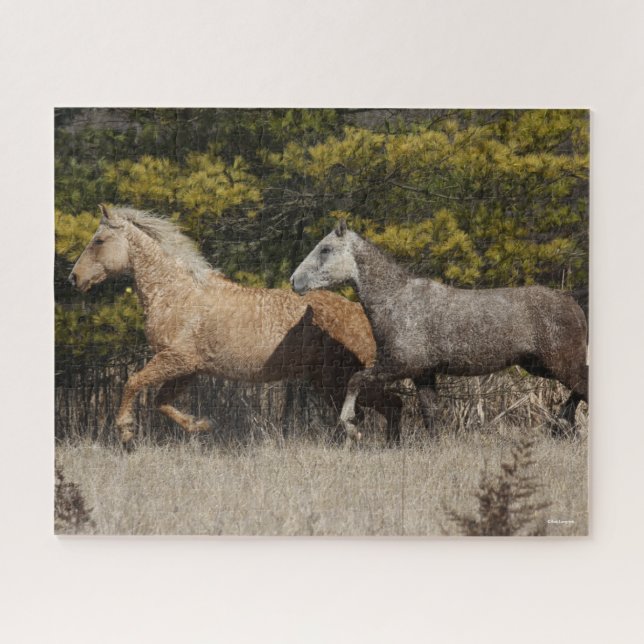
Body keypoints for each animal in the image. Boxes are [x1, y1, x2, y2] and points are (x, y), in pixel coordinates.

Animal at [69, 205, 402, 445]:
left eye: (98, 240)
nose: (74, 278)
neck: (175, 292)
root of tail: (360, 314)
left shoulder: (175, 360)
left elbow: (133, 382)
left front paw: (126, 432)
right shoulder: (188, 369)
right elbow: (161, 401)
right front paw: (201, 425)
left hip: (343, 380)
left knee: (391, 404)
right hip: (327, 383)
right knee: (381, 409)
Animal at [290, 219, 588, 445]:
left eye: (325, 249)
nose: (294, 281)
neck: (395, 299)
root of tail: (573, 304)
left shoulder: (399, 365)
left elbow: (355, 380)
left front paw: (351, 426)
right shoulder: (423, 374)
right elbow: (430, 413)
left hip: (561, 364)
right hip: (539, 366)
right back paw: (562, 423)